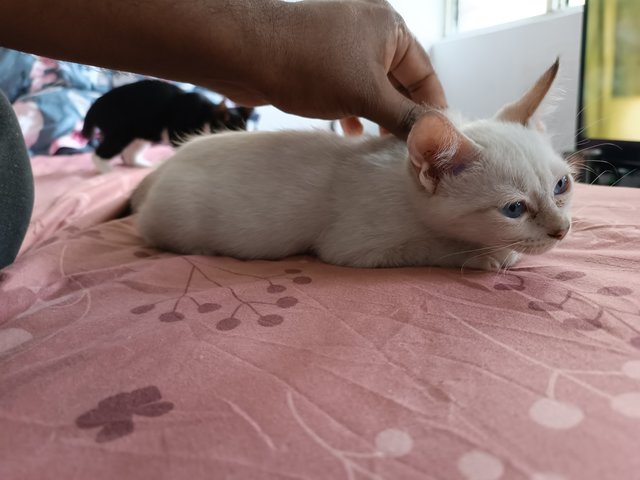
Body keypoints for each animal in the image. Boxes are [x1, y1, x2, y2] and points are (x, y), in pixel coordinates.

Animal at [132, 60, 572, 270]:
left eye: (561, 186)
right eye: (513, 209)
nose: (563, 230)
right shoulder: (353, 246)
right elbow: (434, 247)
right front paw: (485, 254)